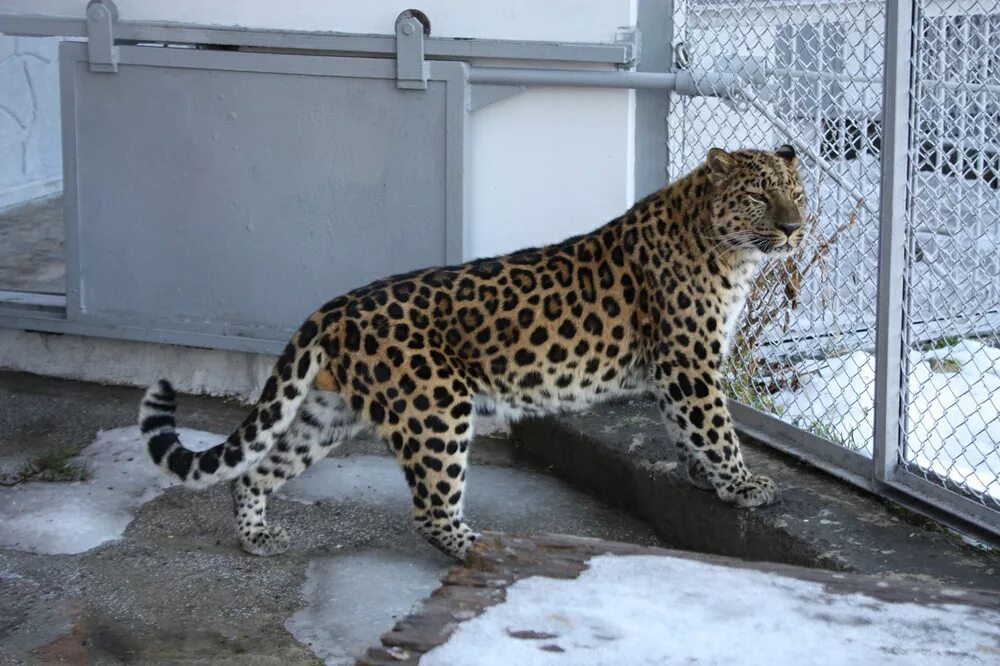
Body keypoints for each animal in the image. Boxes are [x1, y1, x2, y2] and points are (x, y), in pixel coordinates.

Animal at [139, 143, 804, 556]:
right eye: (758, 197)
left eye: (797, 192)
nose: (796, 228)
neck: (728, 251)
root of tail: (335, 307)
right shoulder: (688, 361)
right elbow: (713, 426)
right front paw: (743, 483)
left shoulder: (678, 368)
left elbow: (685, 428)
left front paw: (705, 479)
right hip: (436, 406)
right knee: (430, 510)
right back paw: (477, 550)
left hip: (328, 415)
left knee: (254, 472)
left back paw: (257, 537)